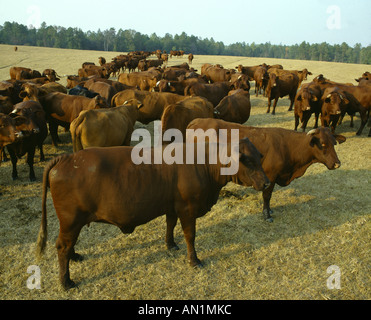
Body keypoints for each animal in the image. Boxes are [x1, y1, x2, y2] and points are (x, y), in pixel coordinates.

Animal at [36, 136, 270, 288]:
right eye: (247, 160)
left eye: (260, 157)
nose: (267, 183)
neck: (203, 162)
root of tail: (67, 157)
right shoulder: (188, 209)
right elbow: (190, 236)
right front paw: (194, 260)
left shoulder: (172, 206)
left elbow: (170, 226)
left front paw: (170, 244)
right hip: (71, 220)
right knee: (62, 246)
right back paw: (66, 281)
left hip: (73, 222)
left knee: (68, 244)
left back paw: (75, 257)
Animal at [187, 117, 348, 222]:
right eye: (322, 144)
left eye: (334, 143)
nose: (337, 163)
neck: (287, 147)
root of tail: (196, 121)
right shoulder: (270, 176)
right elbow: (267, 196)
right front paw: (267, 214)